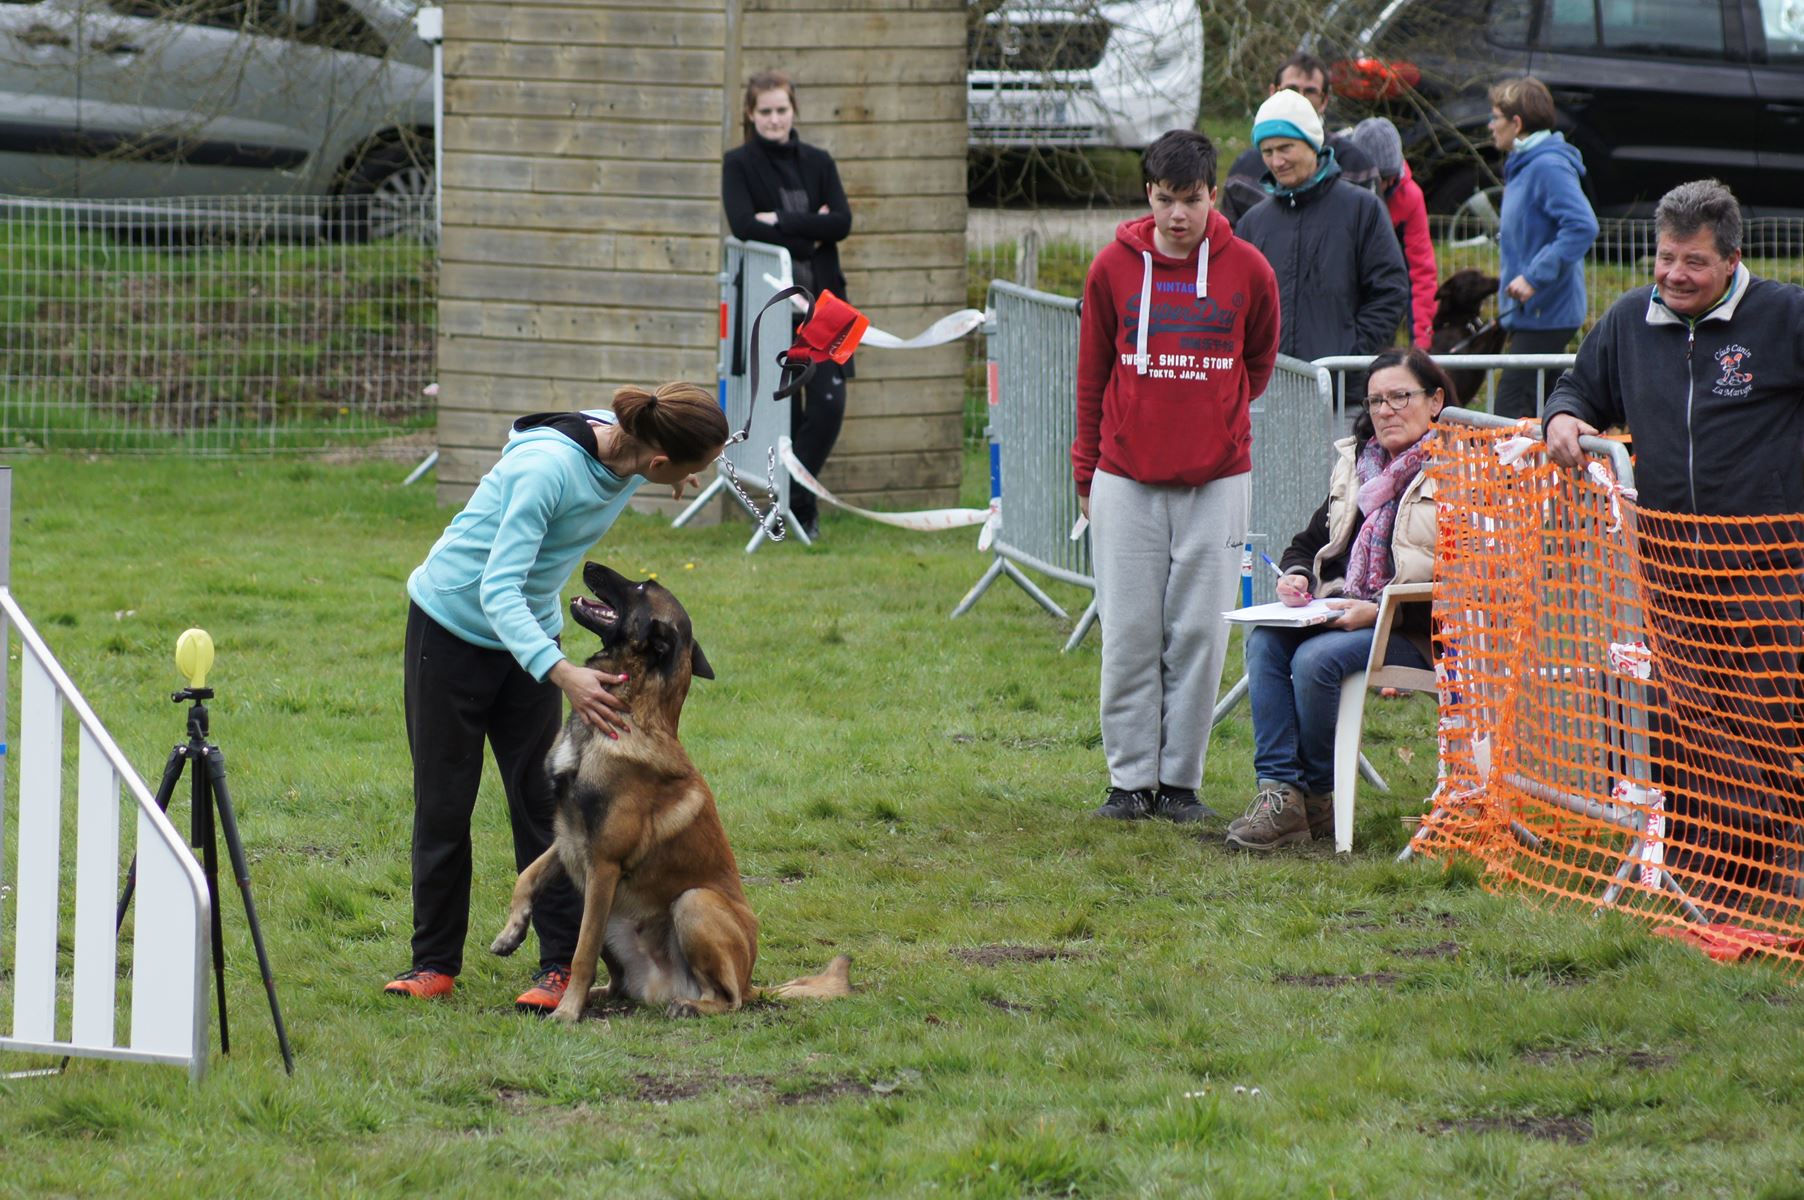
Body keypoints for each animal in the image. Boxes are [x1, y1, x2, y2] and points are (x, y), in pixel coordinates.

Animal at [490, 563, 847, 1017]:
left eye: (642, 586)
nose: (589, 565)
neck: (628, 708)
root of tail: (755, 984)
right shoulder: (570, 838)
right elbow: (528, 874)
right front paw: (511, 931)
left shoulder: (603, 862)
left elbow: (581, 951)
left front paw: (566, 1012)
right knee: (622, 984)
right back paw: (604, 995)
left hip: (693, 902)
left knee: (729, 999)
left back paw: (688, 1006)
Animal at [1421, 267, 1508, 407]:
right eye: (1474, 279)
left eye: (1482, 273)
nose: (1498, 280)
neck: (1457, 321)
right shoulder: (1467, 358)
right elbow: (1488, 331)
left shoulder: (1491, 354)